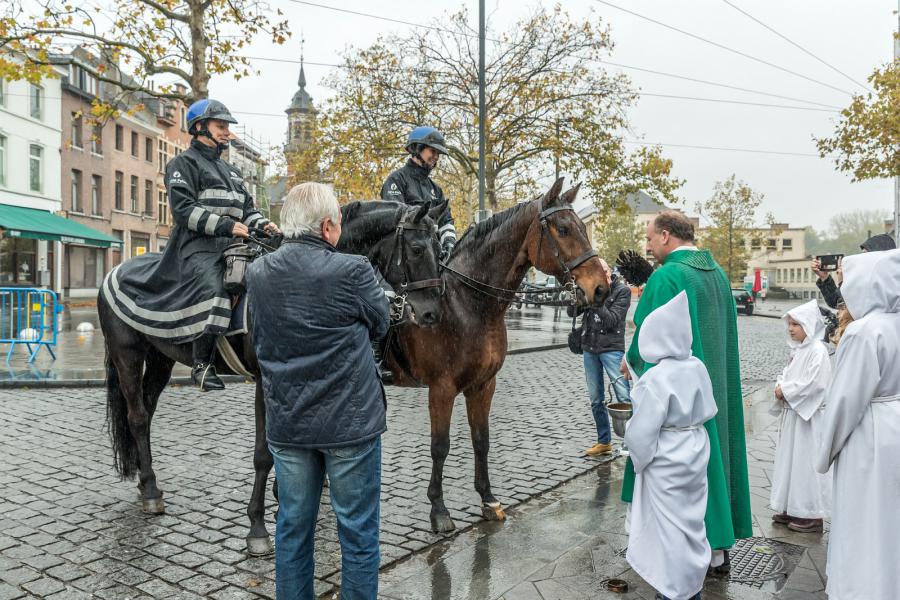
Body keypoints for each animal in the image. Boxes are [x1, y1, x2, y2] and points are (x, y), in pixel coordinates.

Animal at [97, 200, 442, 552]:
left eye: (440, 250)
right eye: (417, 249)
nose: (430, 313)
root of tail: (113, 272)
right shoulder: (266, 380)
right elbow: (264, 454)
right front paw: (257, 526)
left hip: (160, 359)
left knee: (146, 411)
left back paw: (144, 480)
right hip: (127, 354)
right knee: (137, 417)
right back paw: (151, 490)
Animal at [388, 177, 612, 528]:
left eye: (583, 228)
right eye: (563, 229)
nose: (601, 288)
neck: (466, 305)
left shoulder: (483, 385)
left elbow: (482, 440)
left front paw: (488, 499)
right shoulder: (441, 388)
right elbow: (440, 446)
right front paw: (439, 509)